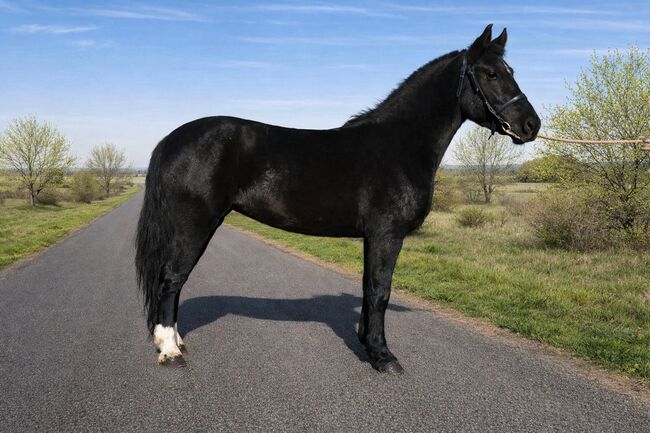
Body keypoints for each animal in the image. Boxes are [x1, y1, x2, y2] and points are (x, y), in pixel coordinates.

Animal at [135, 24, 540, 373]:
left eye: (511, 70)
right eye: (490, 74)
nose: (531, 126)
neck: (399, 144)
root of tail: (171, 139)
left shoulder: (372, 237)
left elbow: (368, 288)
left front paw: (367, 343)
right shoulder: (386, 235)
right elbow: (380, 291)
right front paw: (383, 356)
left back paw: (175, 341)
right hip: (195, 224)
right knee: (170, 280)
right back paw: (169, 350)